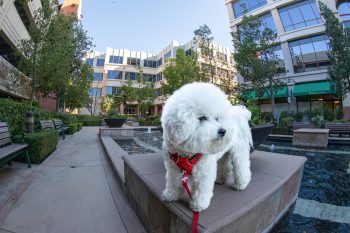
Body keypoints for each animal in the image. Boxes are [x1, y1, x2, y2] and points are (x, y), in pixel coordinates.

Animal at [160, 83, 253, 212]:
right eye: (202, 118)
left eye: (217, 118)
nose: (223, 131)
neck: (186, 154)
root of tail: (238, 117)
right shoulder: (173, 168)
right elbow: (173, 182)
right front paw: (170, 195)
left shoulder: (204, 170)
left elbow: (201, 188)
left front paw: (199, 204)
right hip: (224, 154)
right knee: (223, 165)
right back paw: (220, 180)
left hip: (239, 152)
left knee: (242, 167)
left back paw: (241, 184)